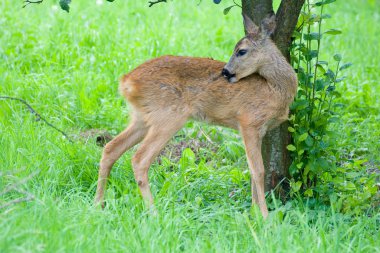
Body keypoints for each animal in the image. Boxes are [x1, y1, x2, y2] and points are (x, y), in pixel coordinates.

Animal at [94, 13, 296, 217]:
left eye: (241, 51)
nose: (225, 72)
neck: (274, 89)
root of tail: (126, 82)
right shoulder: (249, 122)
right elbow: (259, 171)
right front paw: (264, 216)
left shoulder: (258, 130)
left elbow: (252, 170)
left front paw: (254, 213)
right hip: (168, 117)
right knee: (139, 159)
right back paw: (154, 212)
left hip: (141, 117)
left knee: (111, 148)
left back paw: (98, 205)